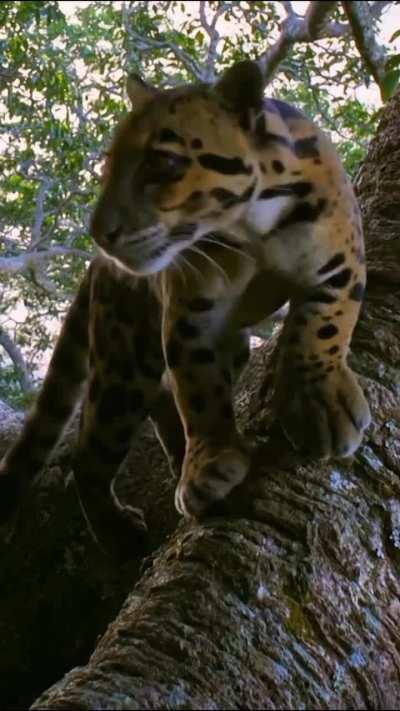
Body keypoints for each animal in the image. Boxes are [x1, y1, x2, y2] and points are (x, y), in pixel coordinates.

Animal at [0, 61, 371, 556]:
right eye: (109, 166)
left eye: (163, 162)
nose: (98, 232)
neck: (251, 227)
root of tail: (97, 268)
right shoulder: (191, 311)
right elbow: (198, 385)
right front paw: (210, 462)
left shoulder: (339, 262)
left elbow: (323, 326)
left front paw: (321, 401)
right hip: (123, 362)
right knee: (89, 455)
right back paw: (117, 529)